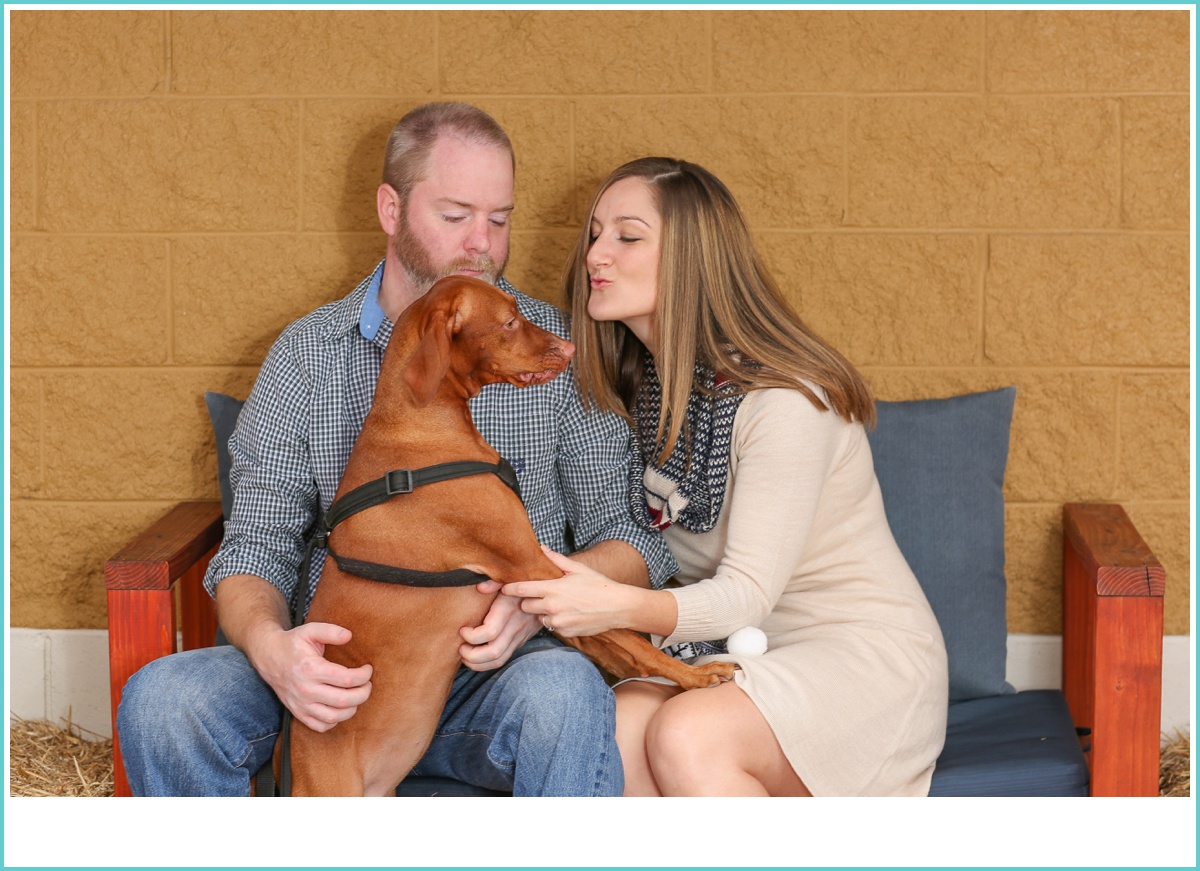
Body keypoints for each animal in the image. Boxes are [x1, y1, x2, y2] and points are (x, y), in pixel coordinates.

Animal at [283, 275, 729, 796]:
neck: (418, 421)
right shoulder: (533, 565)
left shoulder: (545, 586)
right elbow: (630, 638)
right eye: (510, 321)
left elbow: (611, 639)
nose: (570, 347)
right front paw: (695, 678)